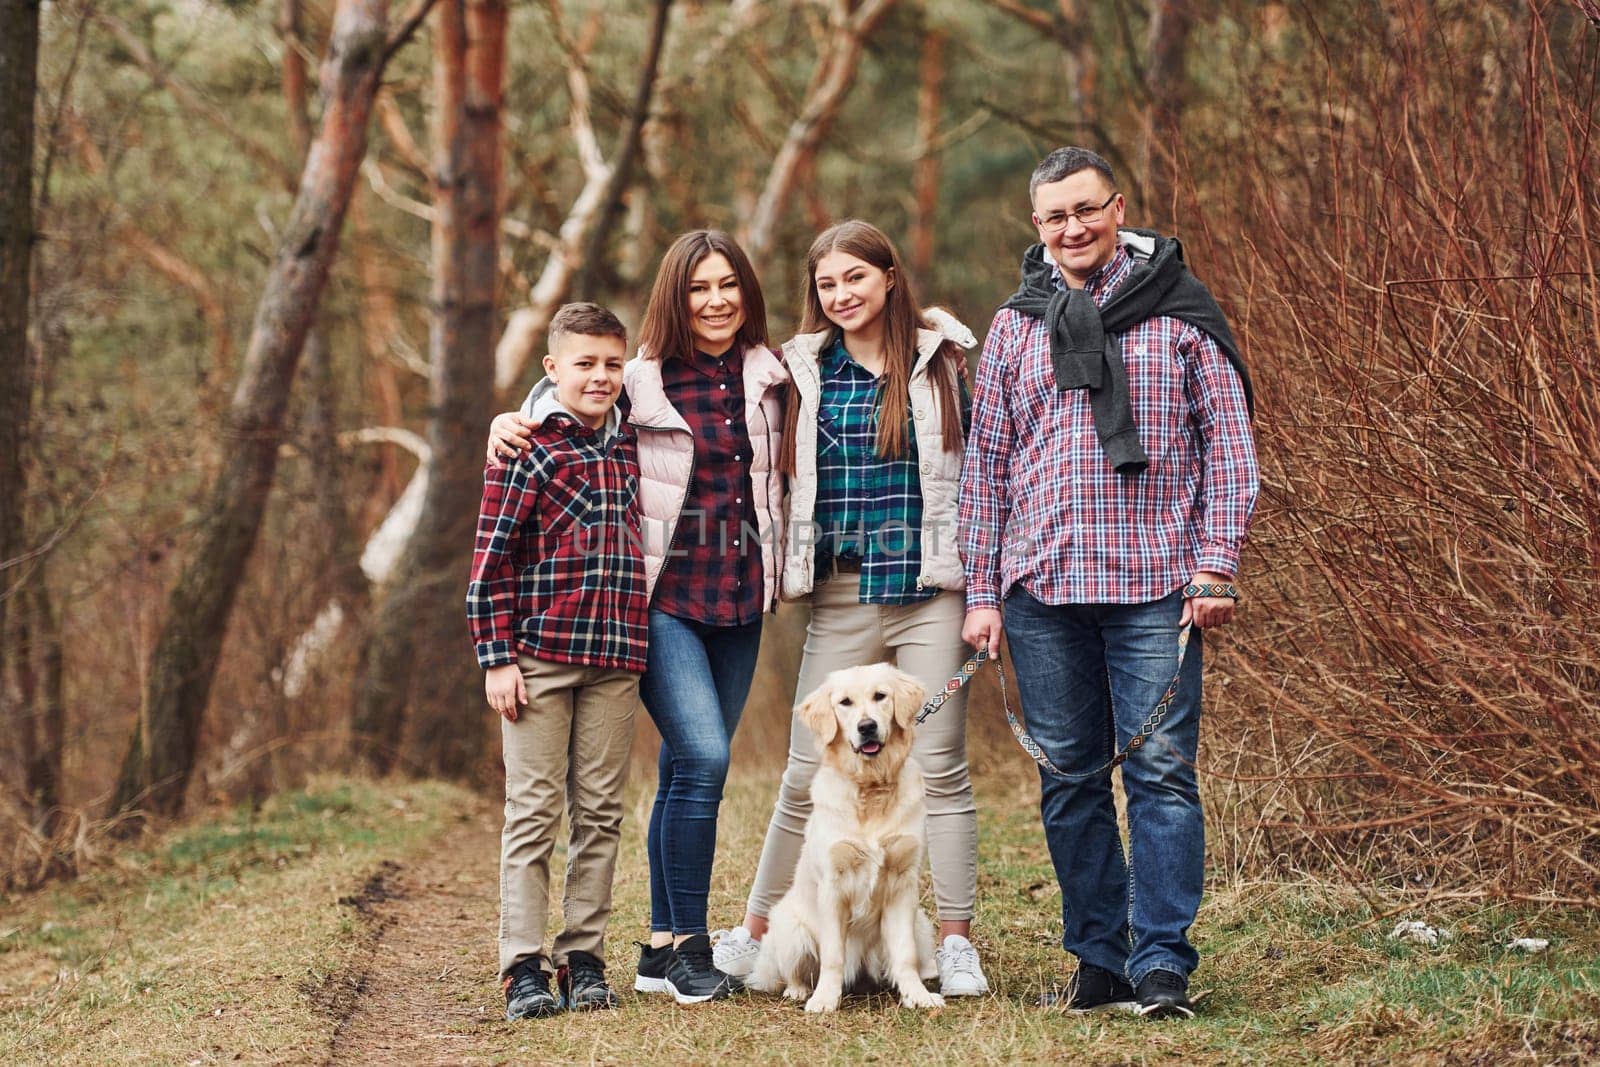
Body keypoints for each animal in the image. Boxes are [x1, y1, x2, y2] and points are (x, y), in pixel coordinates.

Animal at [745, 662, 940, 1017]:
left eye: (880, 696)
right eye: (845, 702)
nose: (867, 727)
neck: (871, 788)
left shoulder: (902, 883)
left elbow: (904, 954)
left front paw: (917, 996)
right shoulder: (833, 887)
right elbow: (833, 956)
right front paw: (824, 1000)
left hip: (921, 924)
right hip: (790, 927)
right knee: (793, 972)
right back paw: (798, 990)